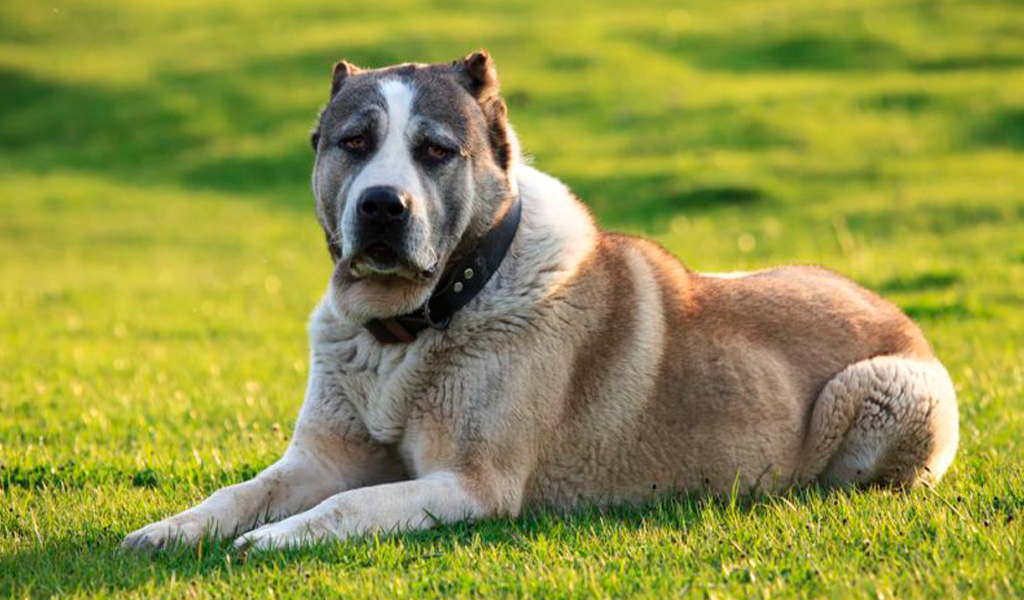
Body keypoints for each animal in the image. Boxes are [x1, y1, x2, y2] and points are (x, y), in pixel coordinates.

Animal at [121, 51, 958, 552]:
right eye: (352, 143)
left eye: (435, 151)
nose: (383, 207)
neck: (411, 326)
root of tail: (899, 316)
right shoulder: (320, 458)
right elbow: (242, 489)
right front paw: (172, 528)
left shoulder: (470, 485)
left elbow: (346, 507)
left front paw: (272, 539)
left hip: (882, 389)